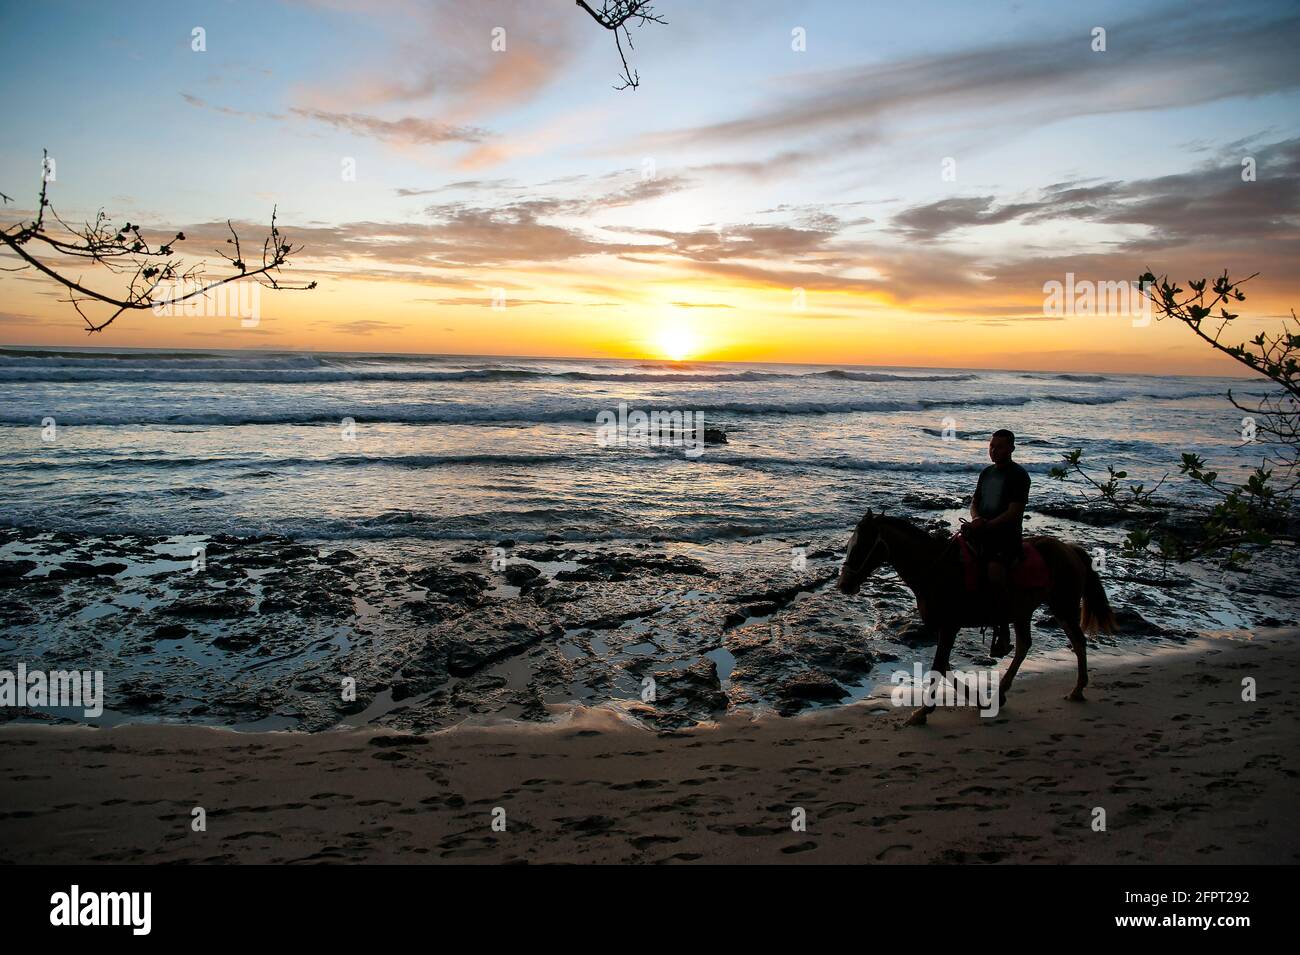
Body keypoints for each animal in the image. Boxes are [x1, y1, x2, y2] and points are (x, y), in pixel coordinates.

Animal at [842, 511, 1118, 722]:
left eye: (861, 545)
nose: (844, 584)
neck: (936, 569)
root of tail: (1070, 549)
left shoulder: (949, 626)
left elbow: (938, 666)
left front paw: (922, 712)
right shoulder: (944, 628)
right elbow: (945, 667)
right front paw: (978, 701)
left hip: (1063, 606)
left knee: (1078, 642)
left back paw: (1077, 689)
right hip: (1023, 611)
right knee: (1024, 645)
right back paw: (1001, 693)